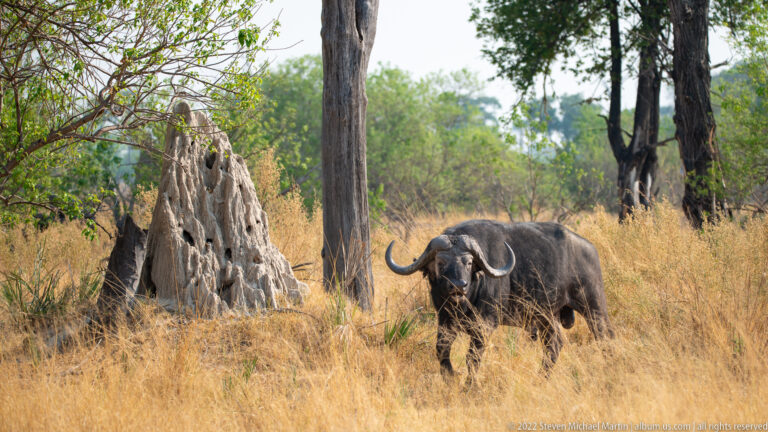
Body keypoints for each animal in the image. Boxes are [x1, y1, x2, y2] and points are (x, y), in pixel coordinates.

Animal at [385, 219, 614, 384]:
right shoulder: (445, 320)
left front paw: (470, 385)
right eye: (440, 262)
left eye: (469, 262)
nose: (459, 285)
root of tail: (589, 248)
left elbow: (472, 357)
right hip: (547, 315)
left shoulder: (485, 324)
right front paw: (451, 377)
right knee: (554, 344)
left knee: (605, 336)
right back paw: (541, 378)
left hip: (594, 305)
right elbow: (441, 350)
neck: (468, 299)